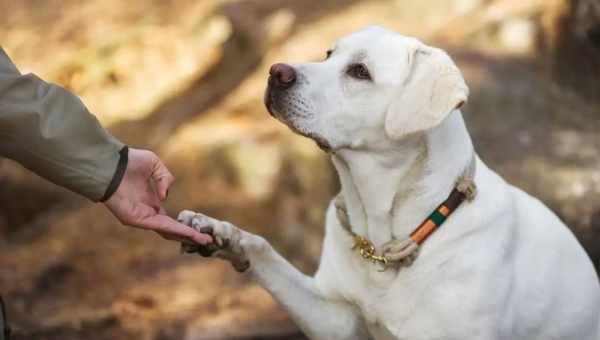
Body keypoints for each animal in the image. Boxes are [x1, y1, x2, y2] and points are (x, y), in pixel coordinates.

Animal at [178, 27, 600, 340]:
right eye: (329, 54)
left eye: (359, 72)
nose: (275, 72)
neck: (385, 235)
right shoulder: (334, 318)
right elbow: (264, 251)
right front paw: (220, 232)